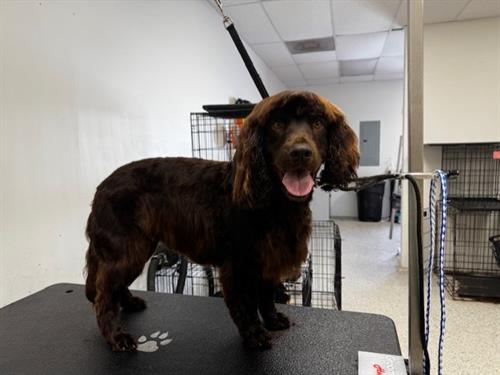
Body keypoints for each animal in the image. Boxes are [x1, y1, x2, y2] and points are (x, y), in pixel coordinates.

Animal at [86, 90, 360, 352]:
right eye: (277, 124)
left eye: (317, 123)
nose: (300, 153)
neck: (274, 201)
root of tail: (101, 187)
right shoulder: (238, 265)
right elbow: (246, 306)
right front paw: (255, 335)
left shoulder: (268, 259)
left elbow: (266, 296)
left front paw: (272, 320)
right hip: (126, 250)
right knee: (103, 294)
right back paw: (117, 336)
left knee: (111, 287)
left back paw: (130, 303)